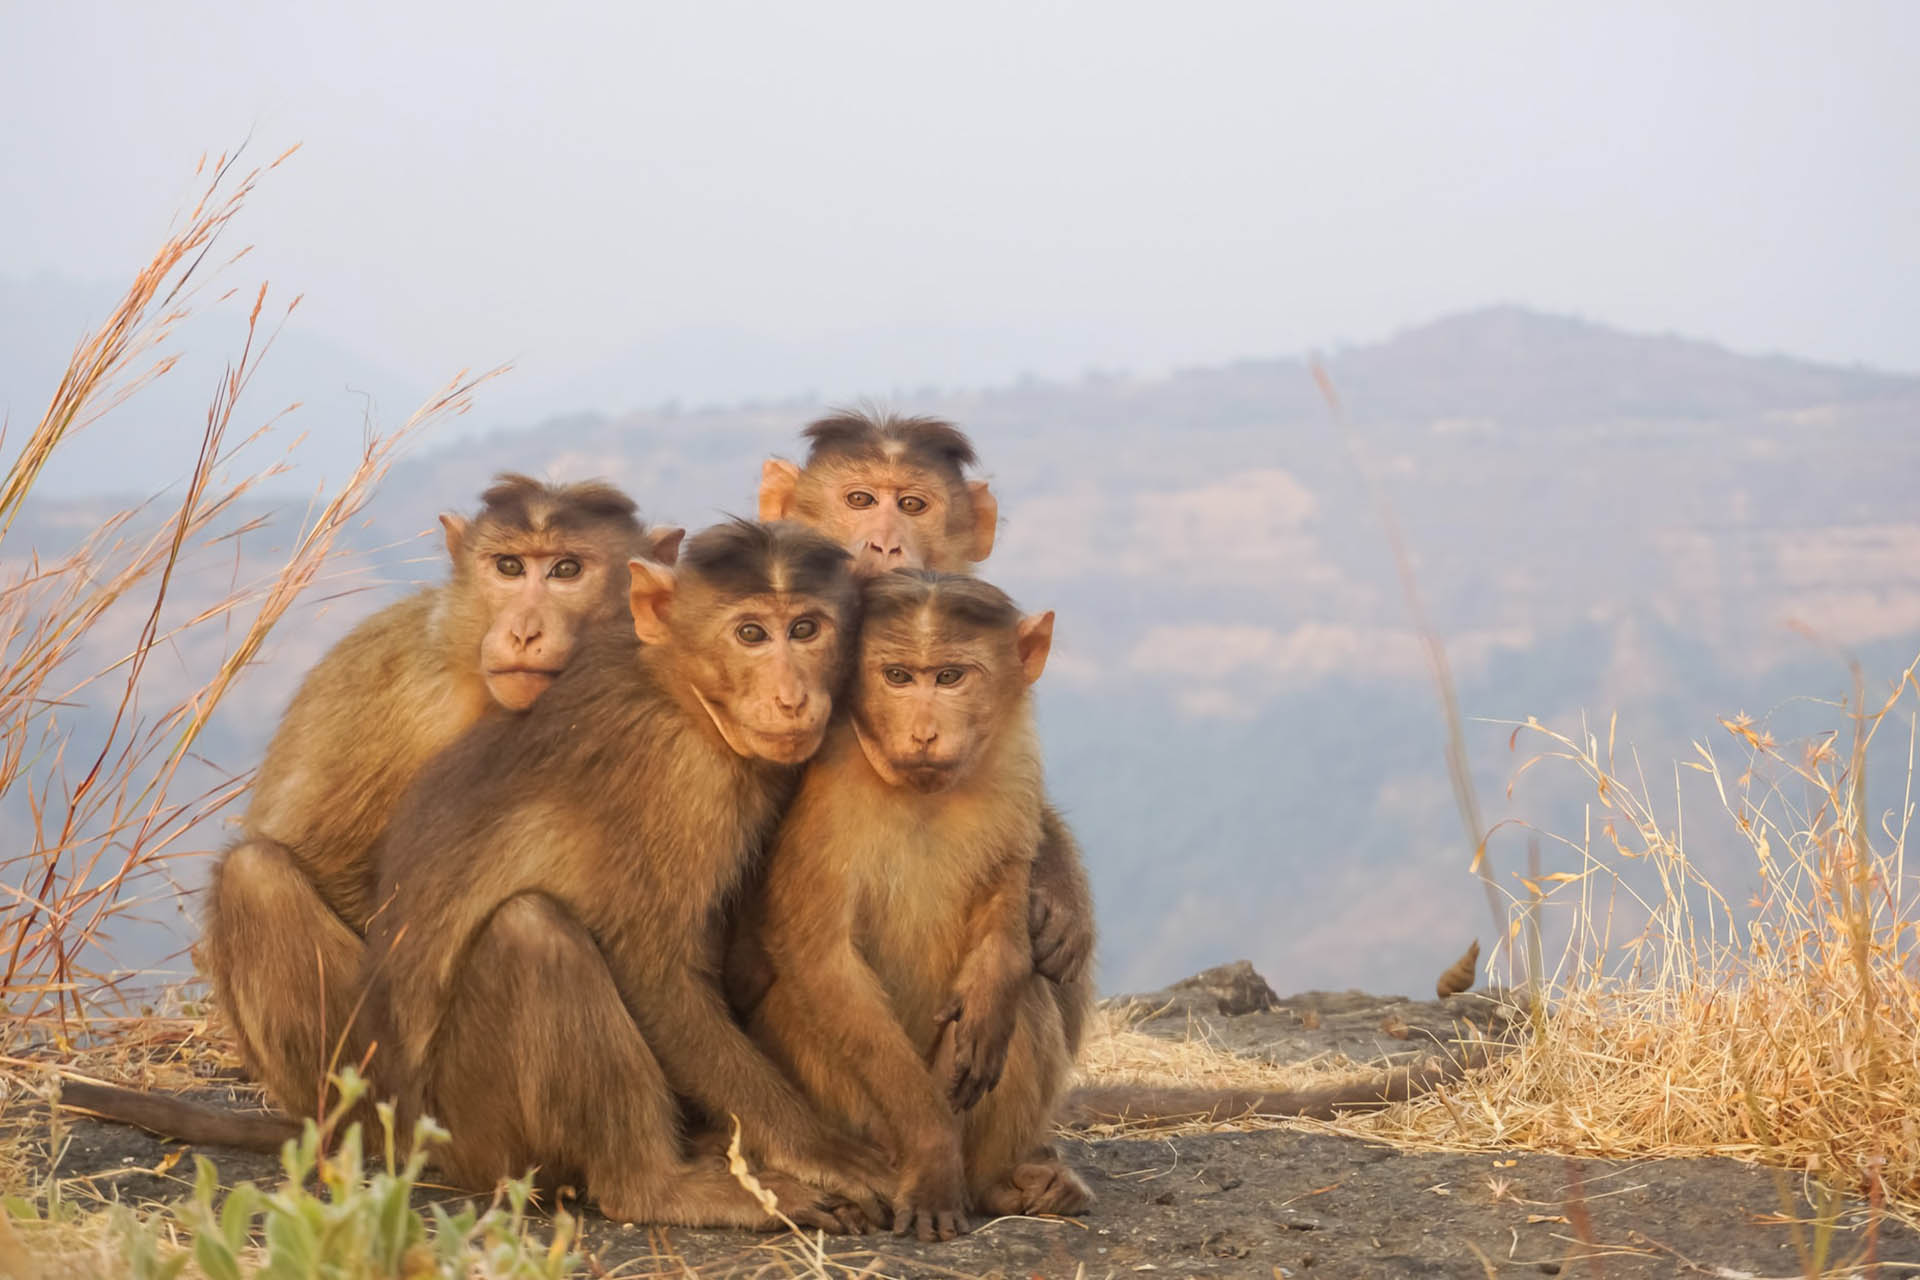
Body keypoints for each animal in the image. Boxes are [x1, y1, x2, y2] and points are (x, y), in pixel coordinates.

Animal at [200, 473, 679, 1123]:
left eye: (566, 569)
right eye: (509, 567)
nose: (523, 631)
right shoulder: (409, 693)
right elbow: (322, 859)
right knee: (254, 877)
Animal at [355, 519, 892, 1231]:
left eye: (806, 629)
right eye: (752, 634)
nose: (792, 696)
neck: (680, 694)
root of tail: (412, 1139)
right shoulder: (675, 776)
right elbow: (655, 970)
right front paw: (818, 1150)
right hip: (479, 1135)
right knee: (533, 933)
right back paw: (658, 1186)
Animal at [742, 570, 1091, 1241]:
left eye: (950, 676)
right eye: (899, 677)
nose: (924, 733)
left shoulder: (1015, 762)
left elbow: (1008, 895)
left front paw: (993, 983)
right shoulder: (828, 794)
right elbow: (821, 958)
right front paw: (932, 1154)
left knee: (1028, 999)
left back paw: (999, 1184)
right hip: (862, 1121)